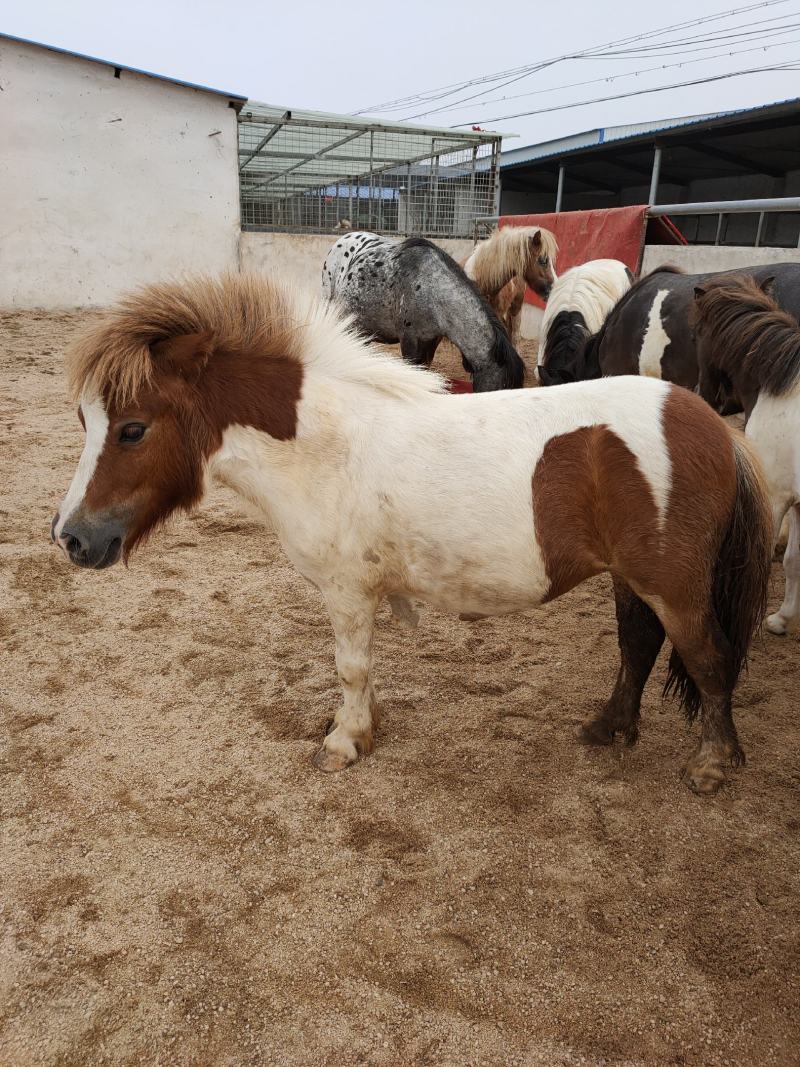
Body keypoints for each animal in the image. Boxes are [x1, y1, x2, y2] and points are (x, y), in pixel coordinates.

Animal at [52, 273, 772, 795]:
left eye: (133, 428)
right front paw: (359, 729)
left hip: (675, 587)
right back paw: (610, 727)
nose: (71, 538)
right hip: (632, 578)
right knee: (638, 646)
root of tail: (708, 422)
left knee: (708, 658)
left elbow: (351, 668)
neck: (324, 444)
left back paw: (712, 764)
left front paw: (344, 742)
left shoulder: (347, 591)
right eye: (88, 421)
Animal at [693, 273, 800, 637]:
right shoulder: (796, 501)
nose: (701, 394)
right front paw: (782, 619)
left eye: (698, 334)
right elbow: (793, 560)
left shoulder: (774, 497)